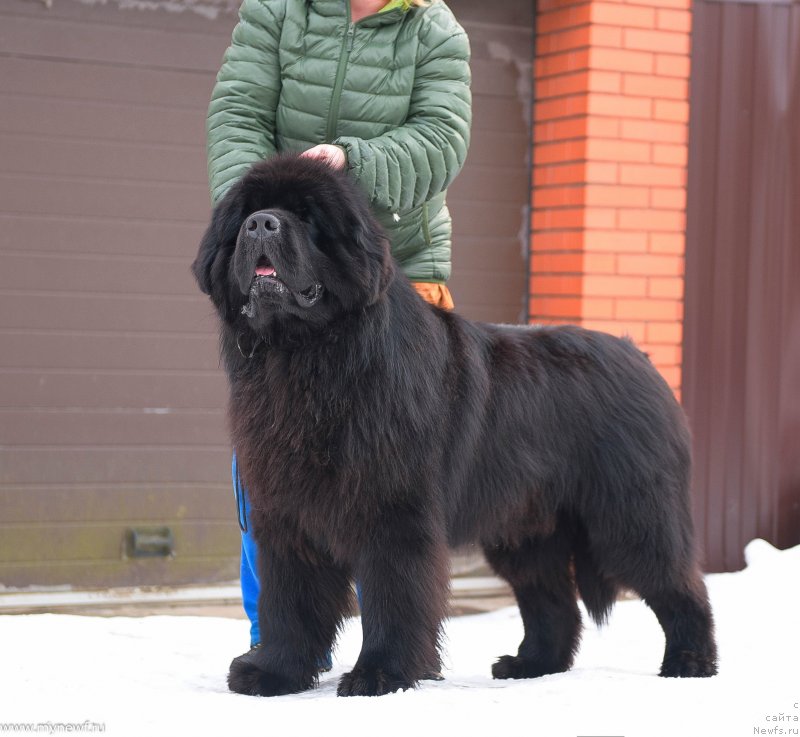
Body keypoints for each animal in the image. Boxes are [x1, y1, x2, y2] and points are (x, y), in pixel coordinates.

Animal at [191, 155, 716, 696]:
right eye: (246, 214)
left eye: (305, 215)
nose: (261, 224)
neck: (305, 359)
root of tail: (641, 356)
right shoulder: (287, 517)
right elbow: (289, 602)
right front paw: (273, 672)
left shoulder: (394, 513)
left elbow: (393, 598)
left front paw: (379, 674)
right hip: (527, 529)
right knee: (554, 603)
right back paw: (529, 665)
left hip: (629, 515)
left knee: (679, 585)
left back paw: (689, 662)